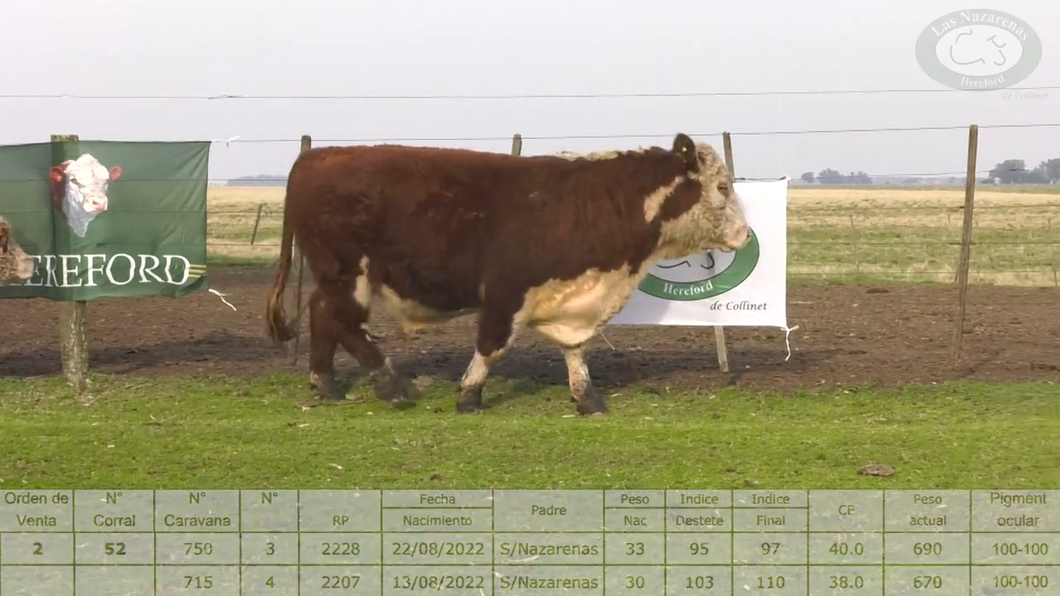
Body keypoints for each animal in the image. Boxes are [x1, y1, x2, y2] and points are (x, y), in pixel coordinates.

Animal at [263, 133, 746, 413]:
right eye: (723, 186)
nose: (744, 234)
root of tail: (321, 155)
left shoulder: (575, 300)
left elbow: (576, 350)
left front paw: (587, 397)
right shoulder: (505, 291)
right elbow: (493, 347)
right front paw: (469, 394)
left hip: (336, 276)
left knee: (322, 313)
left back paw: (326, 384)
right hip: (349, 273)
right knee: (344, 322)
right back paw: (392, 384)